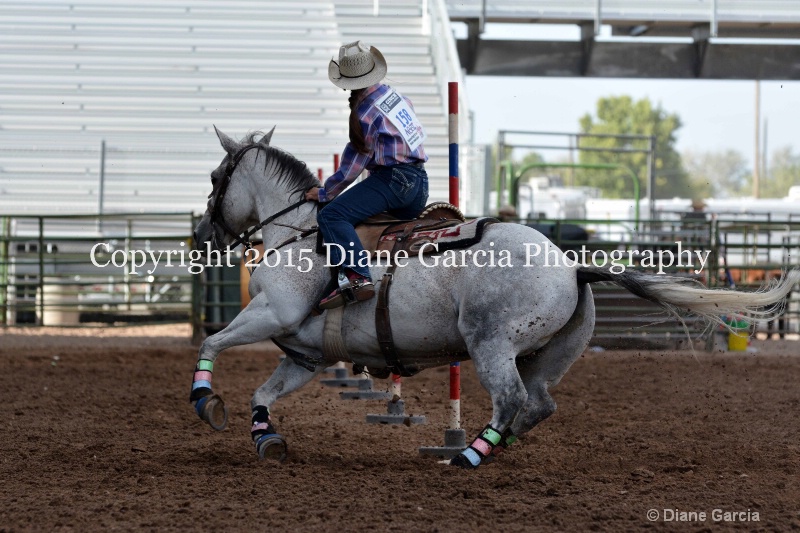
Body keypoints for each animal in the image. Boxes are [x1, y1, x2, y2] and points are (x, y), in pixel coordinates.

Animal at [192, 129, 800, 470]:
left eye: (217, 176)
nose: (203, 233)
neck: (297, 233)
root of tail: (571, 266)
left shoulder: (272, 313)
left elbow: (212, 342)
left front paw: (204, 401)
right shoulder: (307, 356)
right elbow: (262, 392)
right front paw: (265, 438)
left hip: (489, 344)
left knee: (511, 400)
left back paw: (468, 455)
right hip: (545, 354)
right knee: (538, 404)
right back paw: (497, 446)